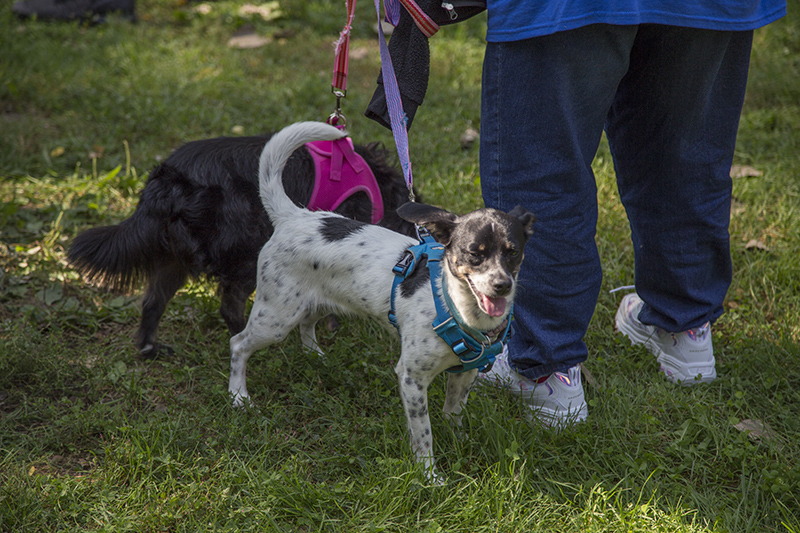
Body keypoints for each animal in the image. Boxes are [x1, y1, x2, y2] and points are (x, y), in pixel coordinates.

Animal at [70, 133, 418, 358]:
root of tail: (167, 180)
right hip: (248, 251)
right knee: (230, 308)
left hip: (173, 259)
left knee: (153, 302)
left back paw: (149, 349)